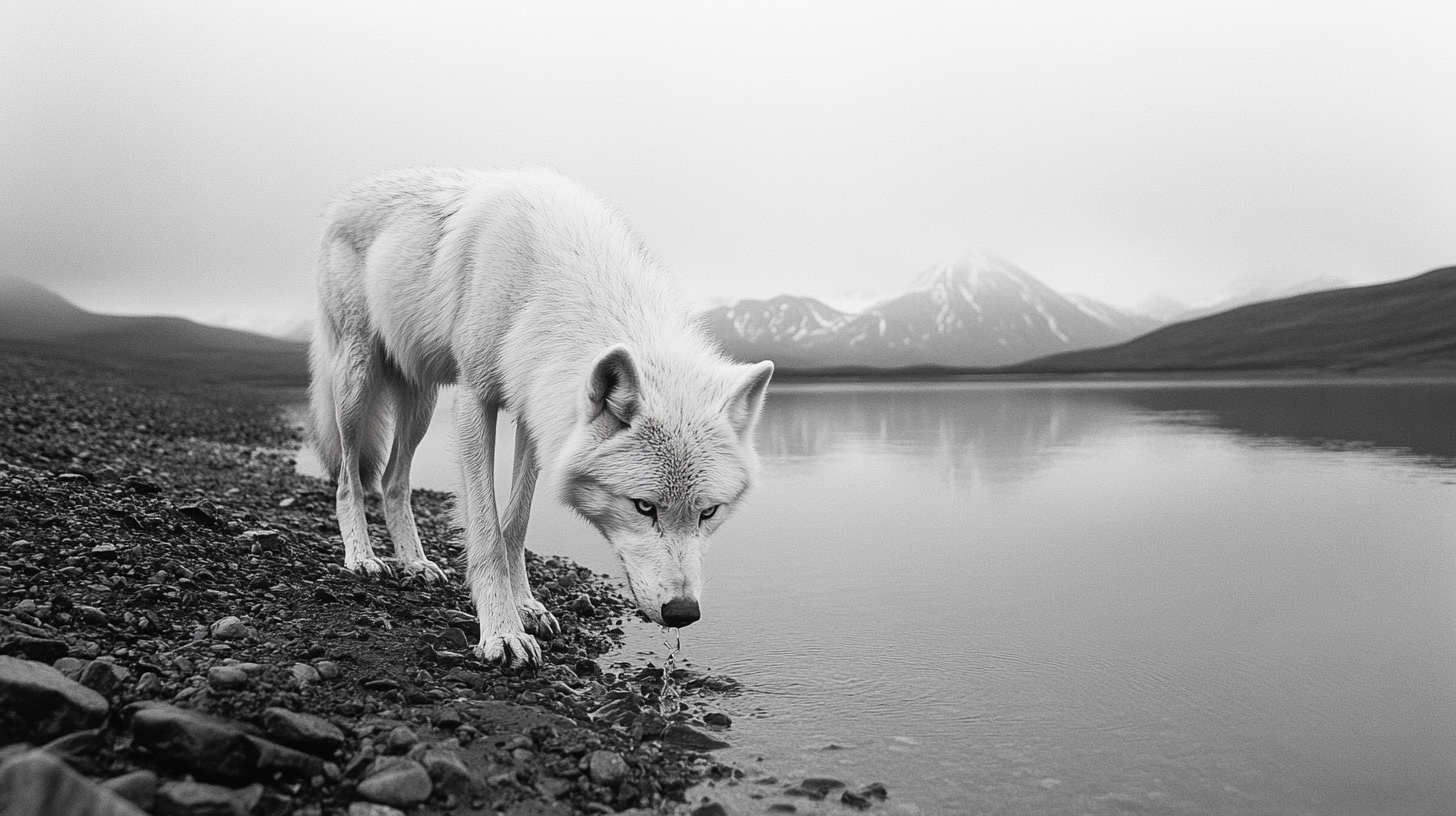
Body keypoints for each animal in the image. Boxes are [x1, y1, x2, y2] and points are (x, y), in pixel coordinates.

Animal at [310, 169, 774, 667]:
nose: (683, 612)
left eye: (709, 512)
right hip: (357, 382)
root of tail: (347, 195)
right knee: (349, 478)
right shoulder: (474, 400)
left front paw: (526, 607)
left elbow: (516, 524)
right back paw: (362, 557)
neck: (552, 280)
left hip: (421, 405)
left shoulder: (535, 412)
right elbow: (487, 533)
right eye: (643, 506)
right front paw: (502, 632)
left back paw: (415, 563)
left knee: (393, 483)